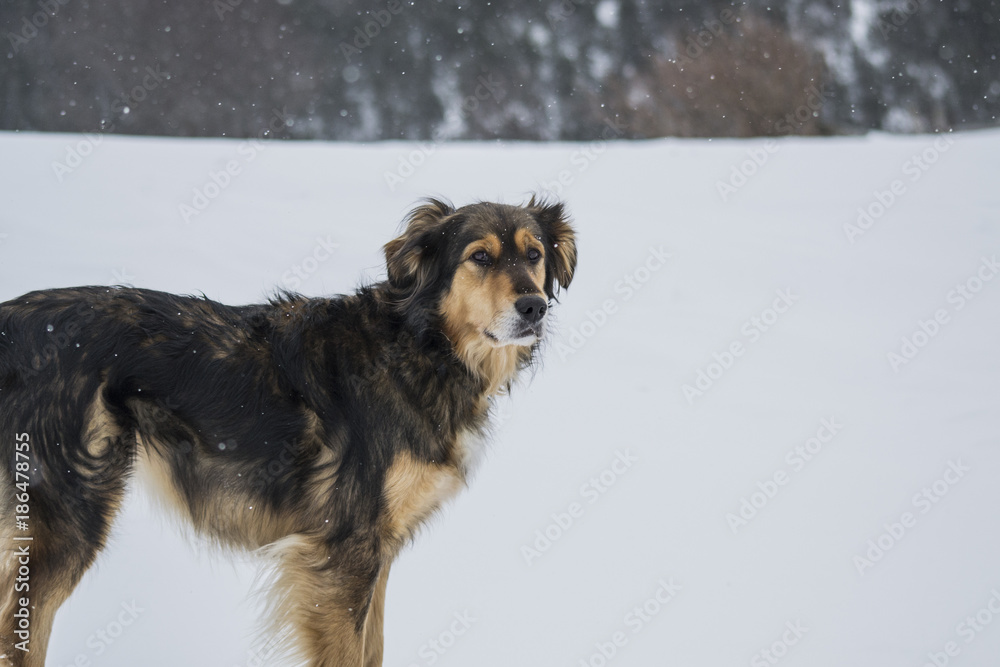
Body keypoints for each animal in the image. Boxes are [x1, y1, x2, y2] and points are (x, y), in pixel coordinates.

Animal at [0, 198, 576, 667]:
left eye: (533, 255)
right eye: (479, 257)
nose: (533, 307)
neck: (421, 347)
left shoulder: (375, 552)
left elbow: (373, 650)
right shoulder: (342, 554)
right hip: (70, 514)